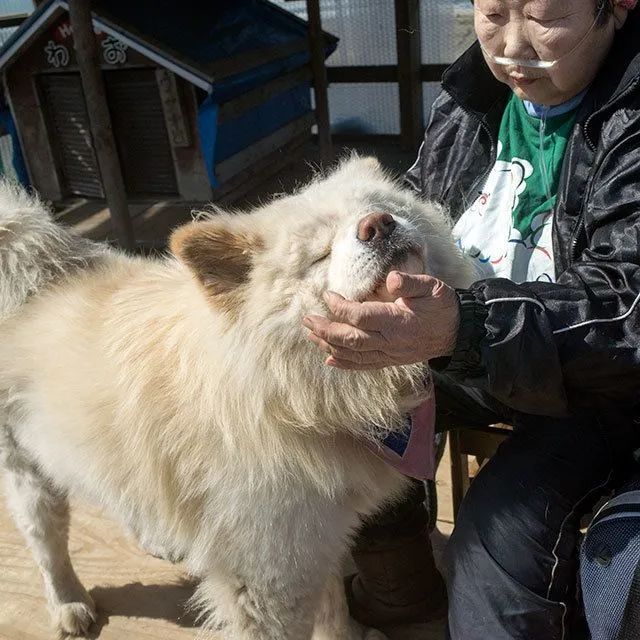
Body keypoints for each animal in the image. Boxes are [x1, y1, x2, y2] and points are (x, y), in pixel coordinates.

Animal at [1, 156, 476, 640]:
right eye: (319, 255)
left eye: (386, 208)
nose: (377, 224)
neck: (293, 397)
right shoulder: (267, 575)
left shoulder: (317, 542)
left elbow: (333, 611)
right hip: (28, 473)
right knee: (47, 543)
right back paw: (69, 603)